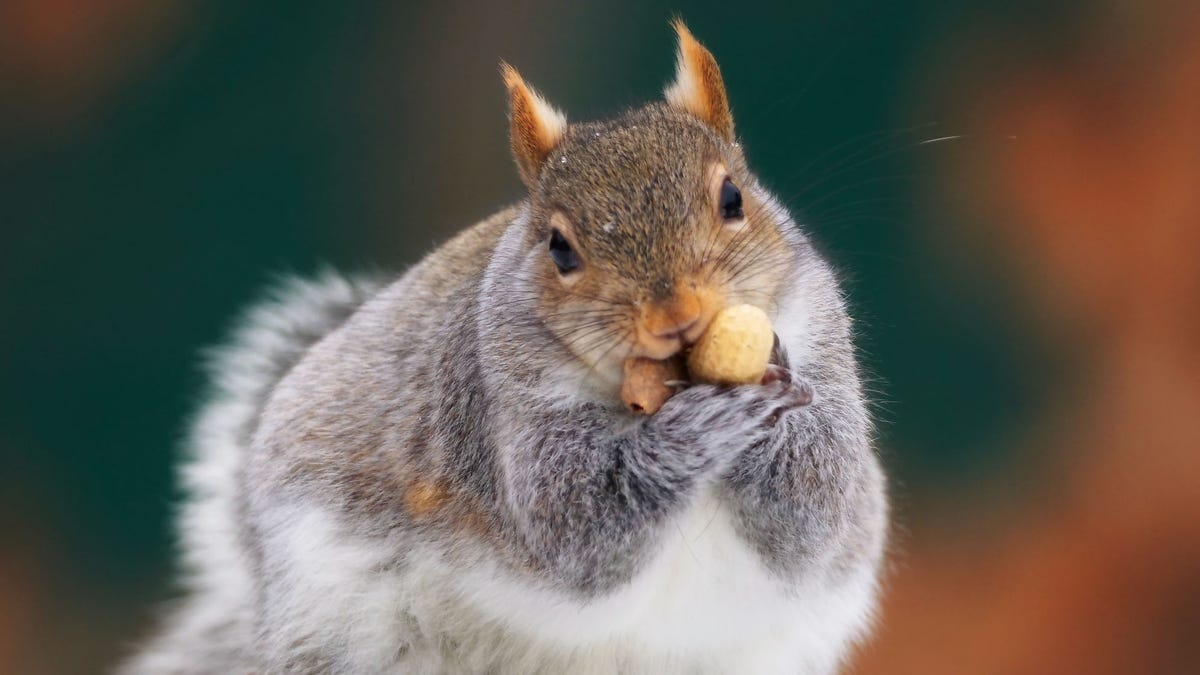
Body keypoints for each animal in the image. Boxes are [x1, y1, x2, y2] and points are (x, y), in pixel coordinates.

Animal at [126, 21, 888, 672]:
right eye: (558, 247)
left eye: (733, 199)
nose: (676, 315)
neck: (650, 383)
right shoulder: (496, 397)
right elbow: (574, 526)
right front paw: (696, 432)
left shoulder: (824, 339)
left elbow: (814, 508)